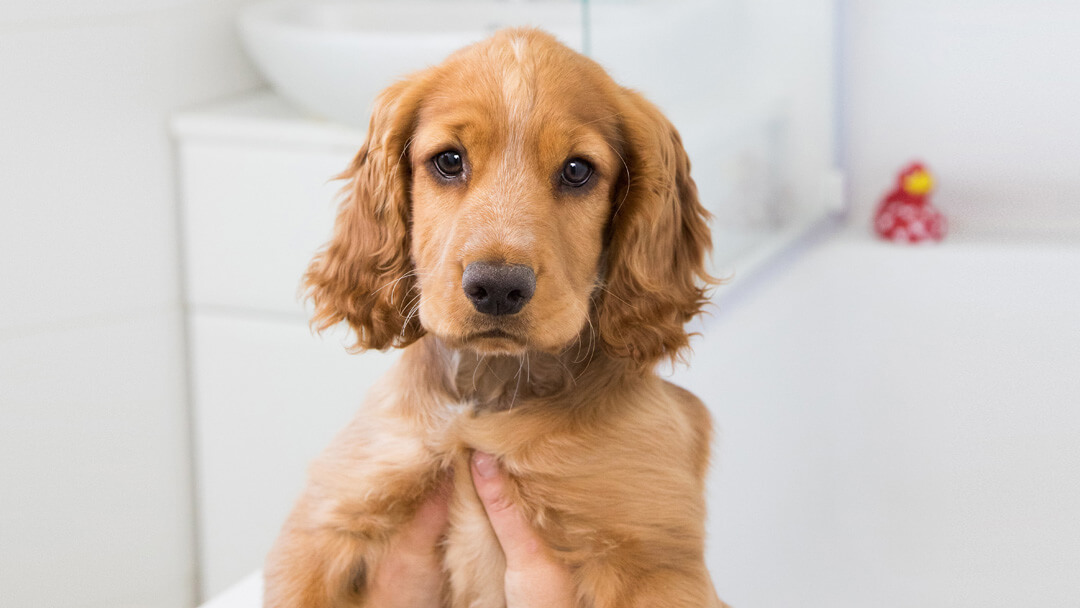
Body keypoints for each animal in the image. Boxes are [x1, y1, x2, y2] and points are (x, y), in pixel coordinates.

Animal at [264, 26, 725, 604]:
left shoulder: (657, 559)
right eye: (449, 160)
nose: (499, 289)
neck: (487, 395)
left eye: (577, 170)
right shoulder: (327, 520)